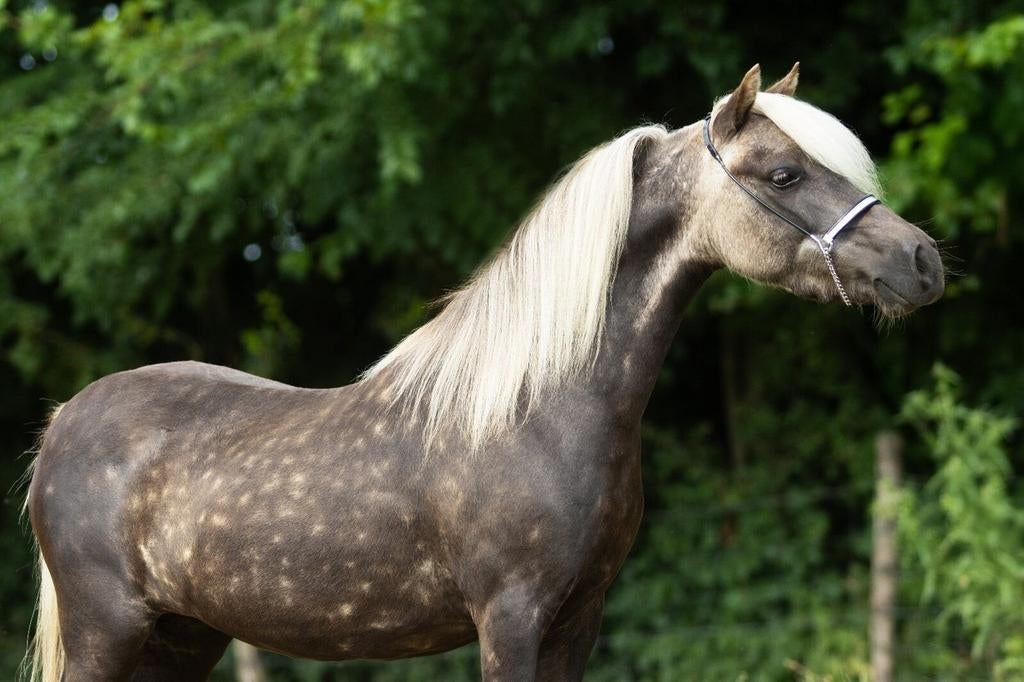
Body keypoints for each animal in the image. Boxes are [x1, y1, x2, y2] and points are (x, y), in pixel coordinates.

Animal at [22, 62, 944, 682]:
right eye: (785, 174)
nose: (922, 261)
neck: (541, 412)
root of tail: (66, 419)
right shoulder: (512, 617)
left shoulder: (579, 621)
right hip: (109, 632)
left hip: (181, 638)